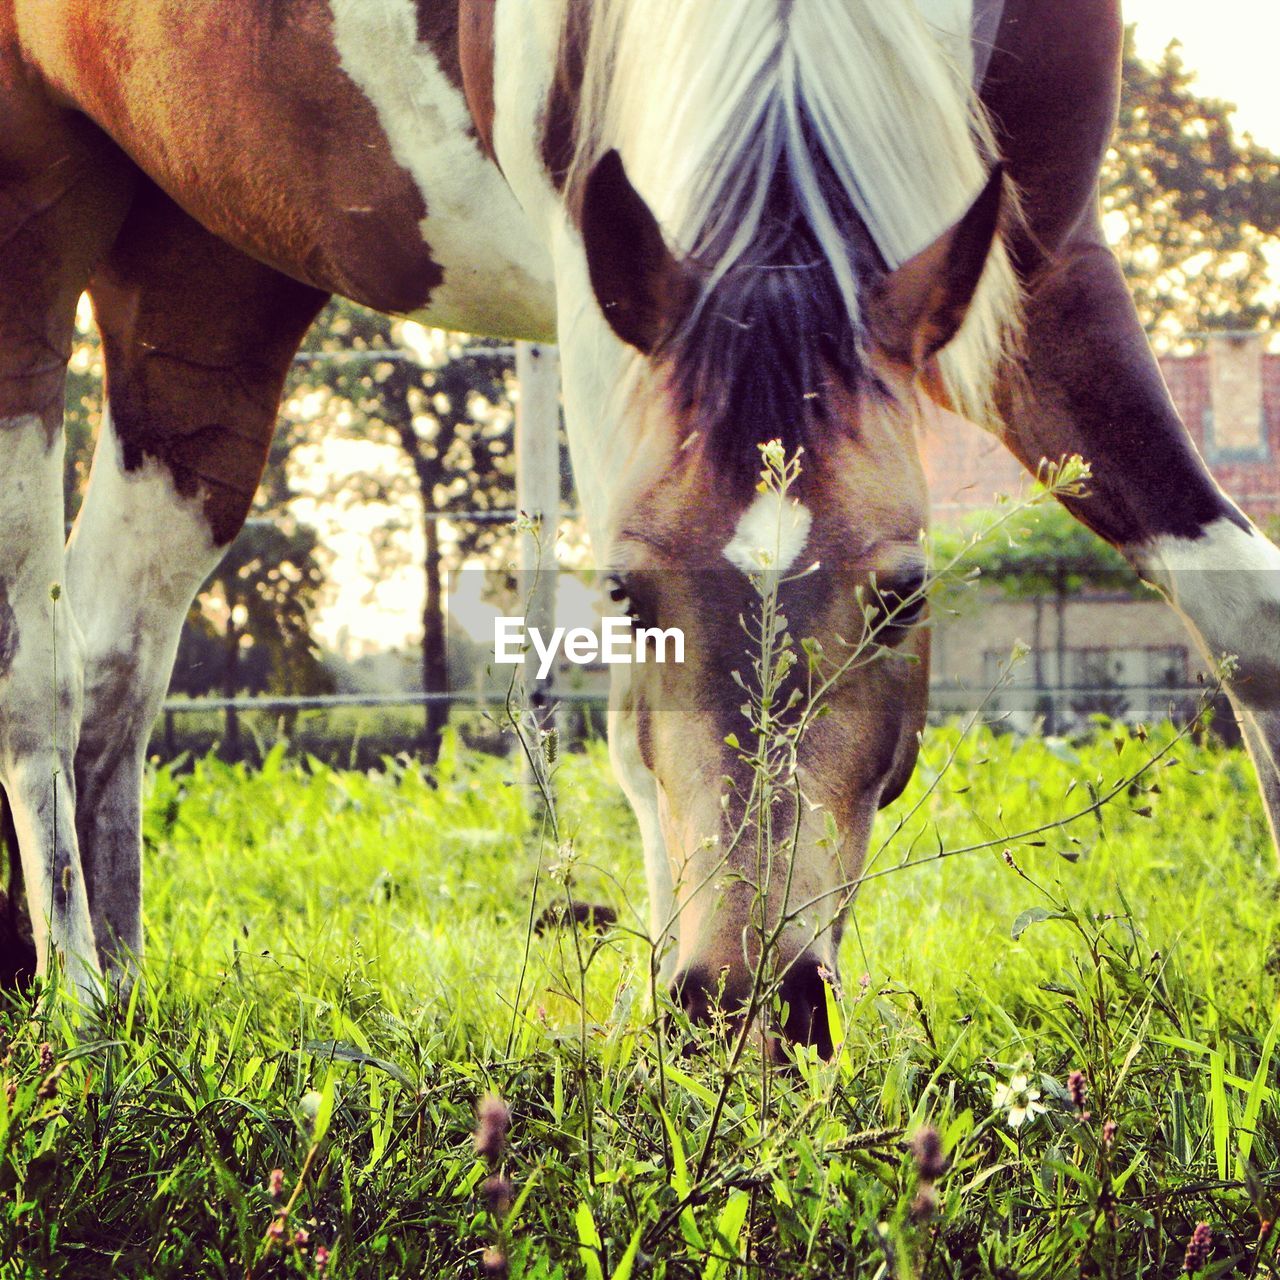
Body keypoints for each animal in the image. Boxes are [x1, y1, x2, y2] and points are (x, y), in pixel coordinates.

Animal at [2, 0, 1280, 1049]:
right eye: (619, 592)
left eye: (904, 594)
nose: (751, 1000)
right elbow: (635, 736)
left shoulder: (1043, 261)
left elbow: (1243, 618)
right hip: (38, 236)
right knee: (42, 675)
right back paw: (76, 1007)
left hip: (209, 283)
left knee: (118, 656)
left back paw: (119, 988)